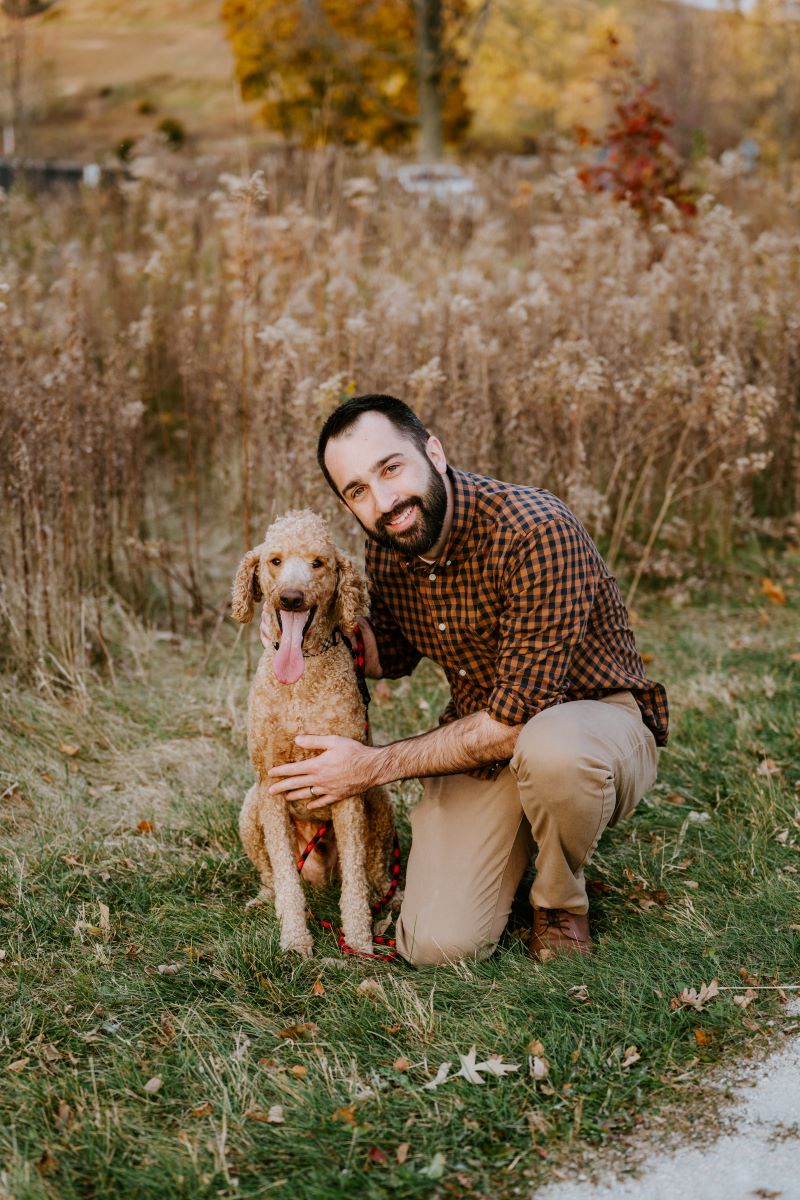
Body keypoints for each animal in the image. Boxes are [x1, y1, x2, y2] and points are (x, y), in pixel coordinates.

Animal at [230, 506, 395, 955]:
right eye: (275, 560)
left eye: (318, 563)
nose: (291, 597)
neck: (301, 683)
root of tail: (321, 875)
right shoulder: (270, 786)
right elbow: (287, 878)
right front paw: (295, 940)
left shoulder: (348, 786)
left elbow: (354, 880)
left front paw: (359, 940)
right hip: (250, 807)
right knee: (272, 876)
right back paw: (264, 899)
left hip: (379, 800)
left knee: (373, 871)